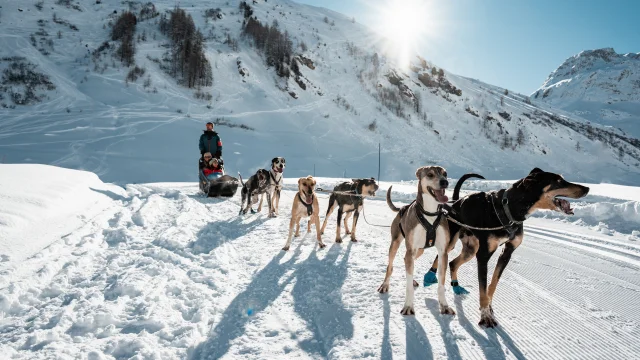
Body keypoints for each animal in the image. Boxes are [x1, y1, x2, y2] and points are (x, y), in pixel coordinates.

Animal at [378, 165, 458, 316]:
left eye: (445, 174)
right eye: (430, 174)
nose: (444, 182)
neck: (430, 213)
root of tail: (401, 208)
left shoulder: (443, 252)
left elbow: (441, 284)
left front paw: (444, 306)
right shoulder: (410, 249)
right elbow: (408, 286)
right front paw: (408, 306)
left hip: (418, 251)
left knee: (407, 261)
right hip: (395, 244)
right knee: (390, 266)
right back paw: (385, 285)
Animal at [424, 167, 592, 328]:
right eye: (558, 181)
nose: (587, 188)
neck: (509, 208)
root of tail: (456, 202)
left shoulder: (507, 253)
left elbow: (492, 284)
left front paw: (489, 307)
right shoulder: (483, 255)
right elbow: (483, 289)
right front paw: (485, 316)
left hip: (470, 249)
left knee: (453, 263)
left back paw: (456, 286)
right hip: (452, 241)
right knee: (441, 255)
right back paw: (430, 275)